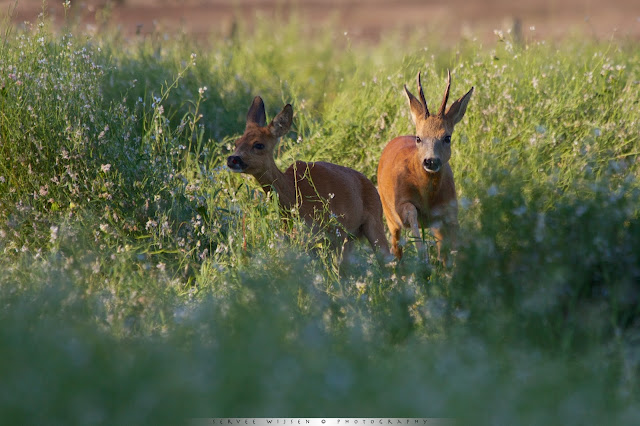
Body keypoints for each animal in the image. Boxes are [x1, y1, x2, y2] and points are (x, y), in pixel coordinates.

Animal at [228, 97, 392, 262]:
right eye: (236, 143)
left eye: (259, 144)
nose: (232, 159)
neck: (295, 193)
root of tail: (371, 184)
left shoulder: (336, 230)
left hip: (372, 224)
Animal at [378, 70, 472, 264]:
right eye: (419, 138)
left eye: (447, 137)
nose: (430, 161)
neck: (427, 196)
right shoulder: (401, 203)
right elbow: (411, 212)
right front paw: (422, 253)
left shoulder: (449, 209)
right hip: (388, 214)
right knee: (396, 246)